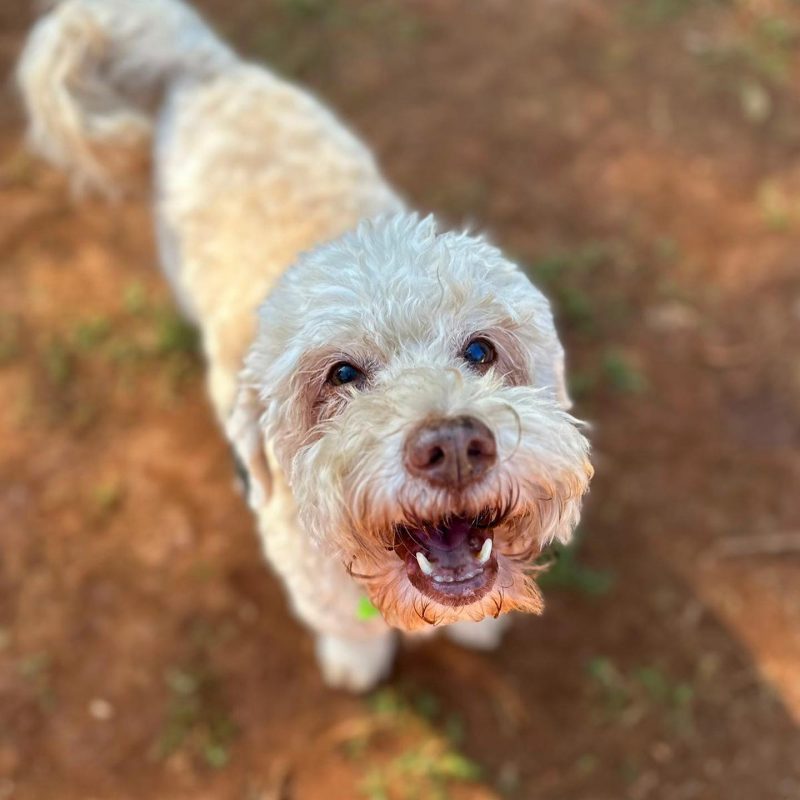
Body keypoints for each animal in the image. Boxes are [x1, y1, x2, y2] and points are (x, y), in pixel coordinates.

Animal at [17, 0, 592, 692]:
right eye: (341, 374)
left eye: (480, 352)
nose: (455, 445)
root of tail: (210, 70)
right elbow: (346, 626)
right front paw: (356, 661)